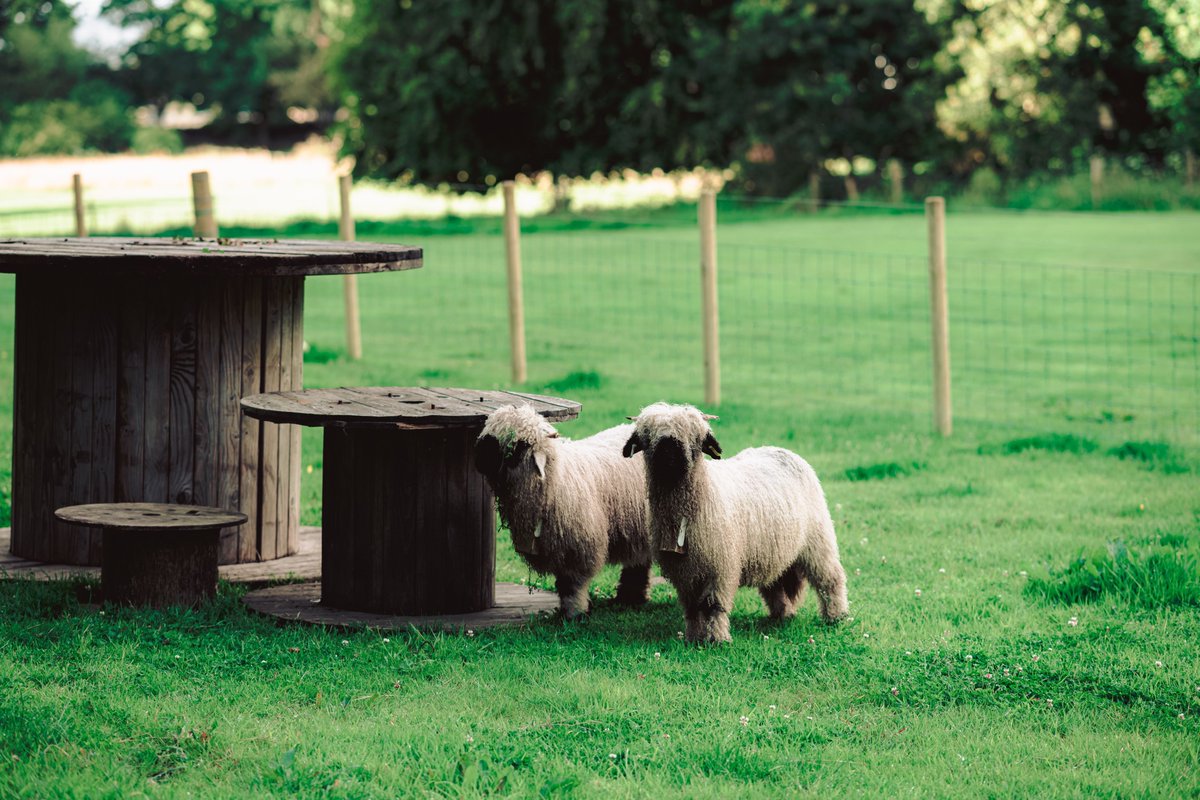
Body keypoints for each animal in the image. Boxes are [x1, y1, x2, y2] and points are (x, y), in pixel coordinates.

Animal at [474, 404, 653, 618]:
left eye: (519, 444)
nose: (479, 458)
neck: (555, 478)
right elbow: (562, 582)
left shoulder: (577, 547)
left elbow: (572, 585)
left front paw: (574, 613)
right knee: (639, 561)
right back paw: (630, 598)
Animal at [622, 402, 848, 643]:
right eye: (647, 435)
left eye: (695, 437)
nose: (668, 453)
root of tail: (782, 450)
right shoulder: (683, 572)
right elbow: (691, 607)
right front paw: (693, 637)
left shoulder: (720, 567)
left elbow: (712, 605)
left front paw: (716, 639)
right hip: (773, 550)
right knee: (775, 584)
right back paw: (782, 615)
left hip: (817, 541)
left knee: (830, 579)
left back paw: (836, 616)